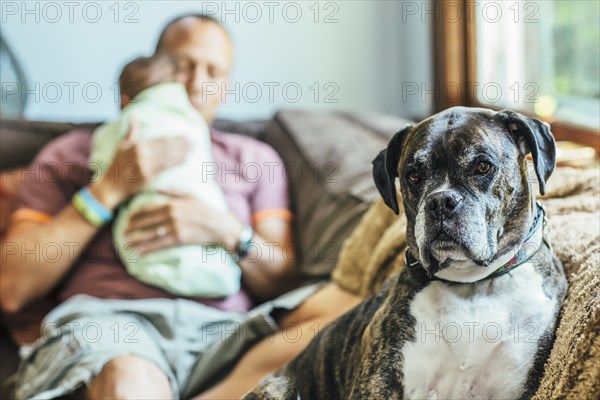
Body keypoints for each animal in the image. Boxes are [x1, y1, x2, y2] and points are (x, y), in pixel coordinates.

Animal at [244, 107, 568, 400]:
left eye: (482, 167)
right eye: (412, 175)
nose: (441, 201)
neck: (473, 286)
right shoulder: (378, 385)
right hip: (280, 386)